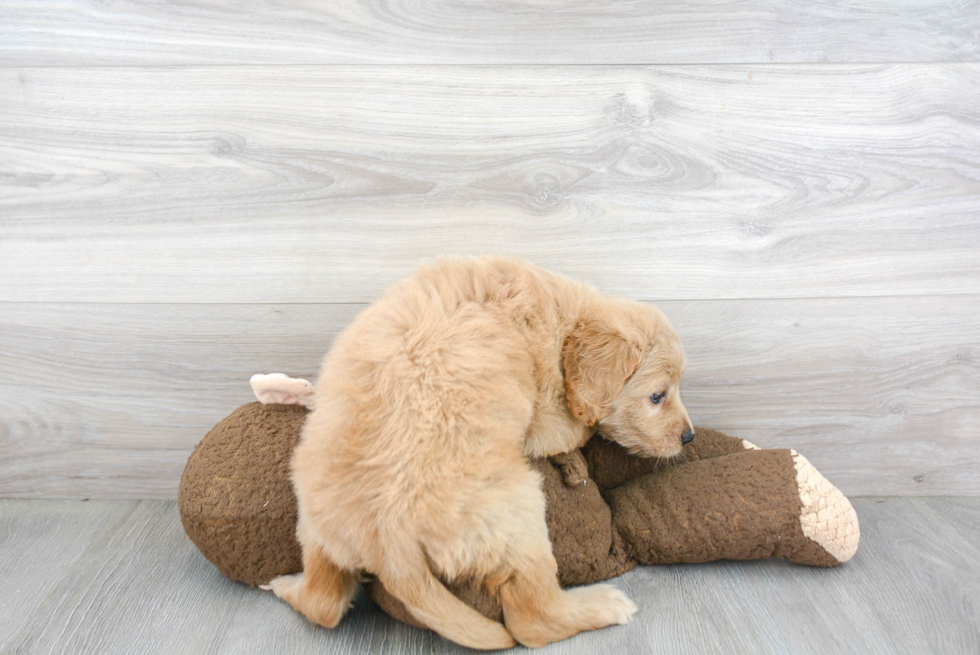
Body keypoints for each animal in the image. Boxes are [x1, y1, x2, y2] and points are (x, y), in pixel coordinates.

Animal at [272, 254, 692, 648]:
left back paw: (284, 584)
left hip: (315, 527)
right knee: (533, 620)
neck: (563, 317)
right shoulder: (549, 420)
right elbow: (576, 432)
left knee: (323, 604)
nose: (688, 436)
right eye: (657, 396)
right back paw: (603, 605)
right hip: (516, 512)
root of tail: (387, 547)